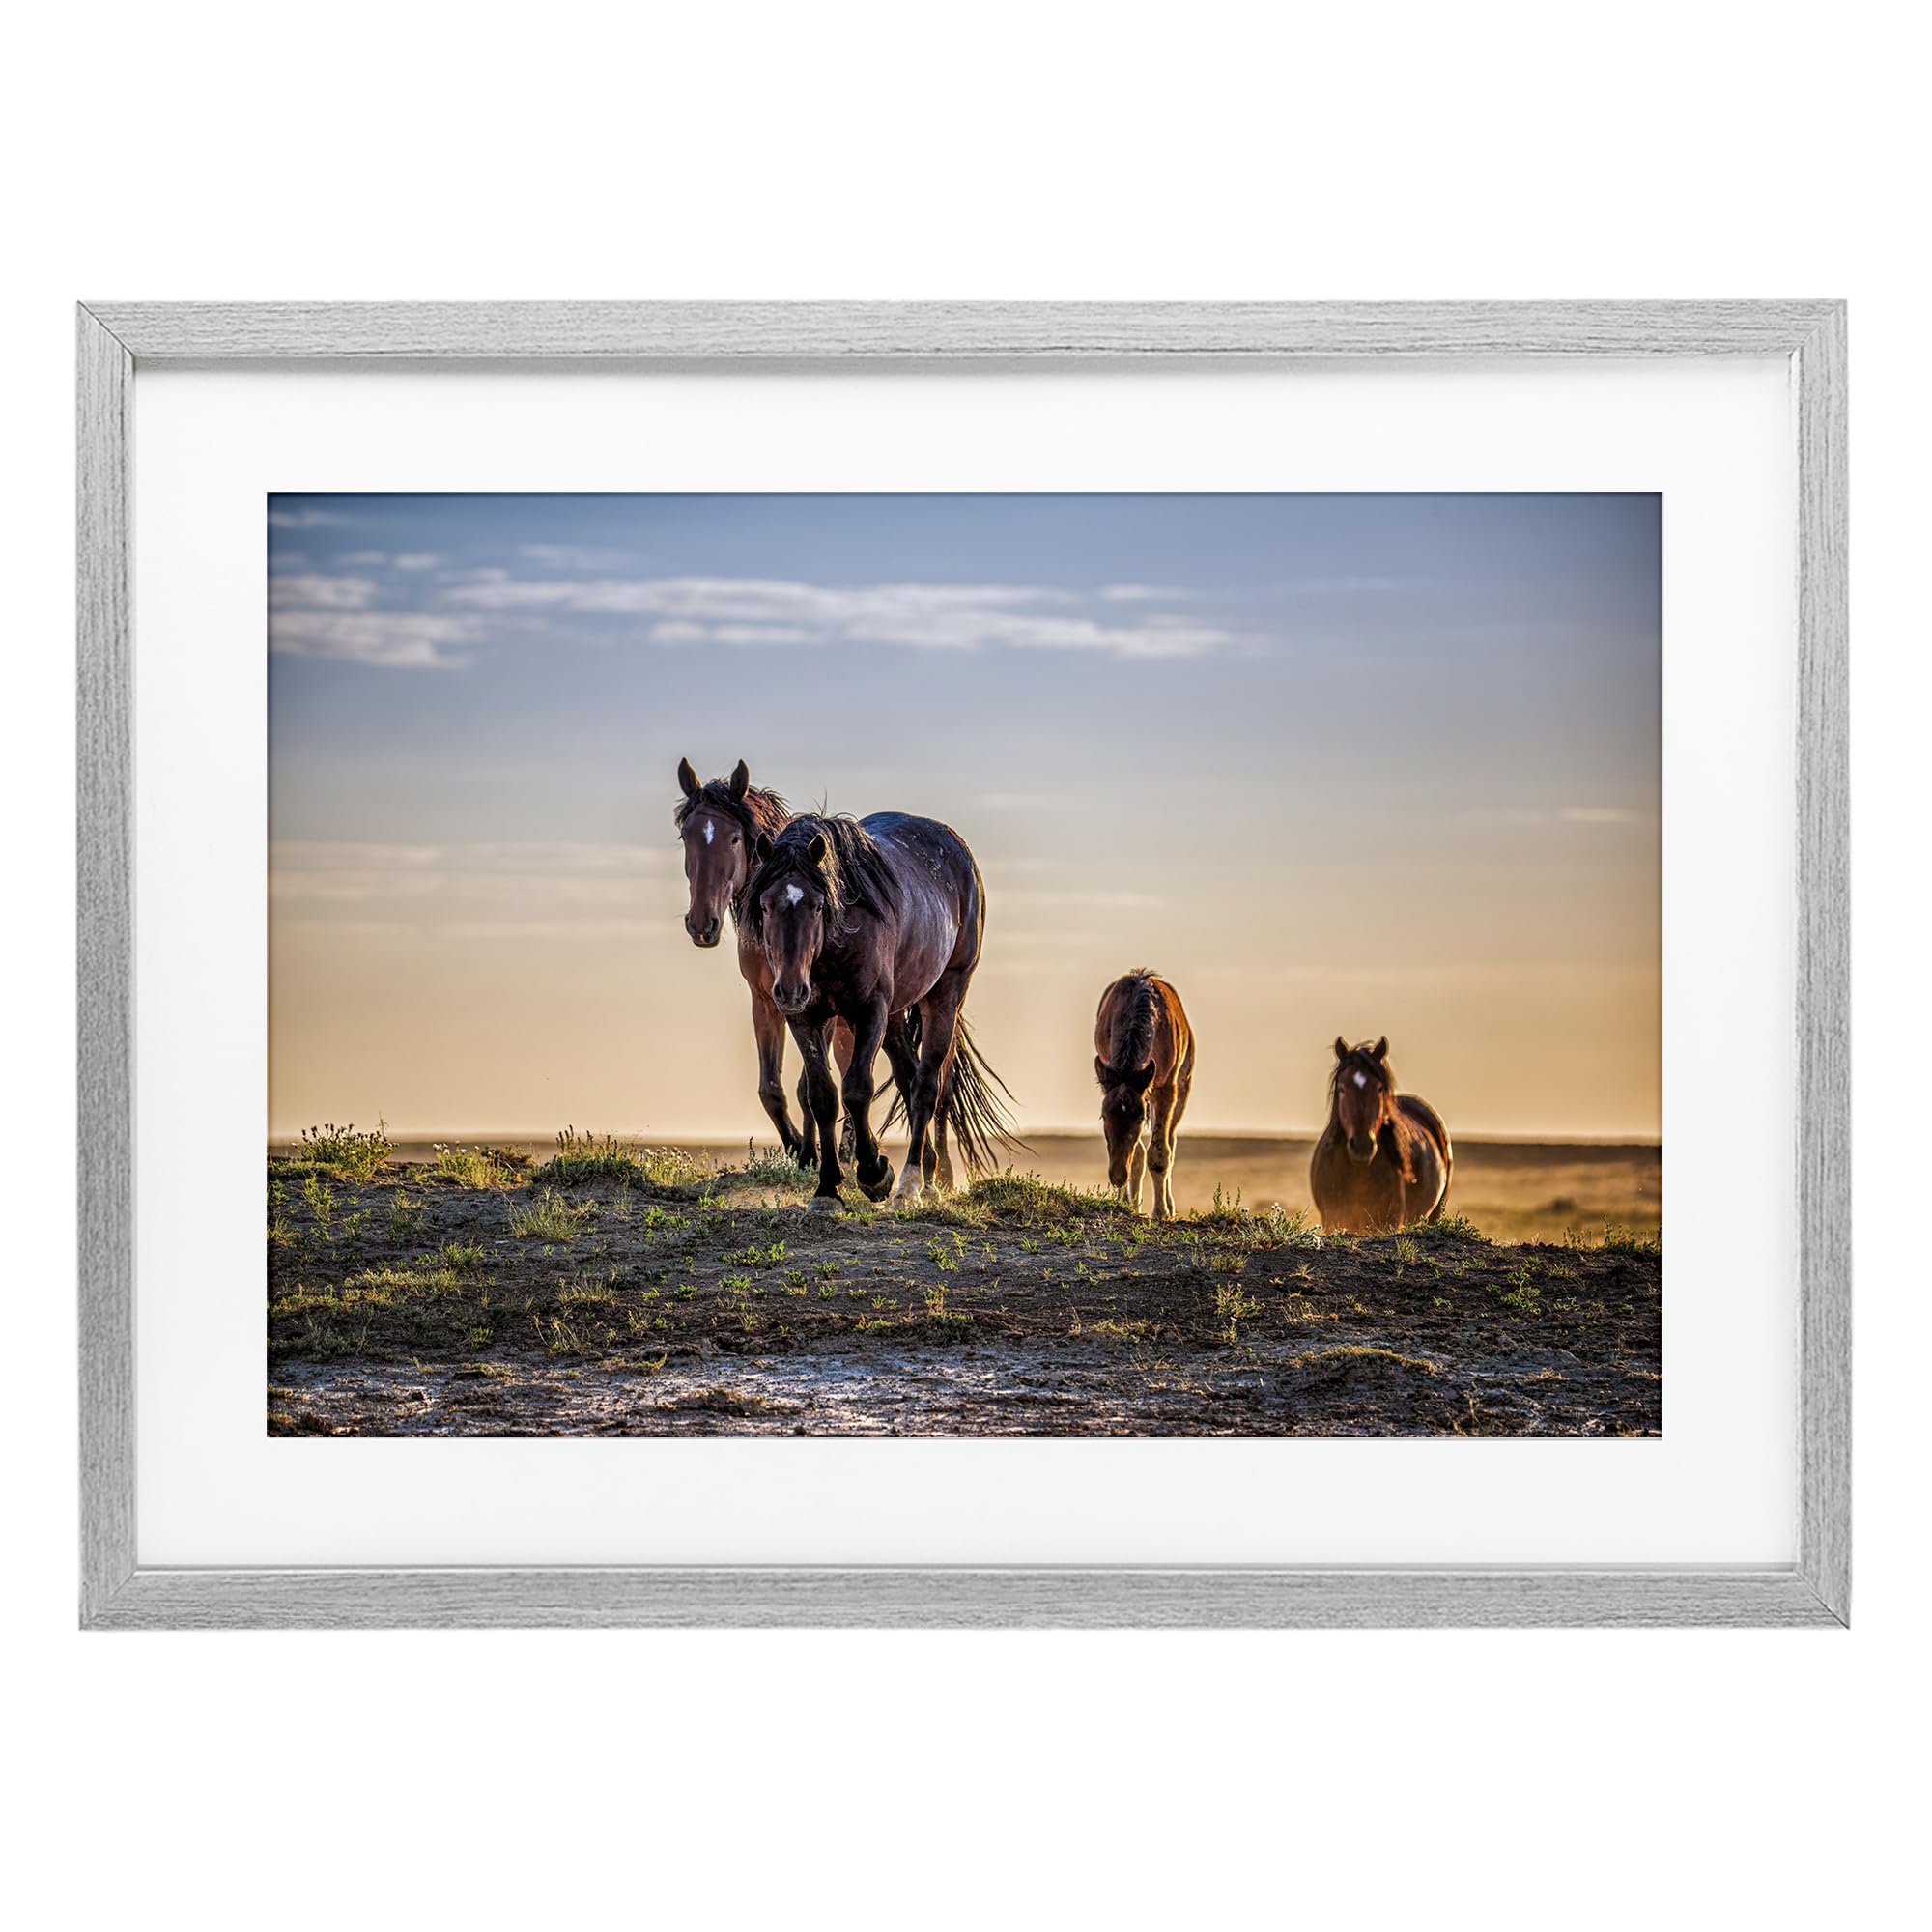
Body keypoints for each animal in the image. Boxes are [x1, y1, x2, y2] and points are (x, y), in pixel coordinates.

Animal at [674, 757, 862, 1168]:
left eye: (734, 838)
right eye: (686, 837)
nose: (702, 924)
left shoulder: (814, 1006)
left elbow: (808, 1086)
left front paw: (811, 1153)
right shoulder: (765, 1001)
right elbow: (771, 1089)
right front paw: (799, 1150)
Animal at [744, 811, 1020, 1211]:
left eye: (817, 905)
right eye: (765, 906)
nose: (790, 989)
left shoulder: (869, 1010)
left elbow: (858, 1089)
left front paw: (875, 1174)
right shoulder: (805, 1018)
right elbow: (822, 1096)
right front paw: (827, 1189)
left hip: (945, 995)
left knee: (926, 1086)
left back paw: (910, 1184)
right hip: (894, 1017)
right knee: (908, 1077)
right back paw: (927, 1175)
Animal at [1093, 970, 1194, 1221]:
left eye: (1138, 1118)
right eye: (1103, 1117)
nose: (1117, 1175)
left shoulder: (1166, 1088)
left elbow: (1159, 1153)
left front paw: (1161, 1212)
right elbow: (1137, 1153)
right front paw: (1126, 1202)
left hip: (1182, 1088)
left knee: (1171, 1142)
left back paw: (1169, 1206)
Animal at [1309, 1036, 1453, 1234]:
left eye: (1379, 1088)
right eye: (1342, 1088)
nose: (1362, 1146)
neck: (1358, 1172)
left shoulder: (1388, 1222)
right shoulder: (1331, 1219)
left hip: (1436, 1212)